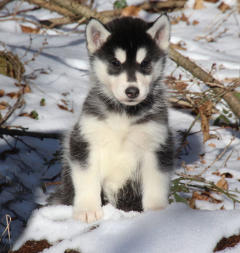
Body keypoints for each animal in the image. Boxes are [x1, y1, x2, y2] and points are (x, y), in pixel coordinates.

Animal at [48, 14, 175, 222]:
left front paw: (156, 212)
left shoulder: (158, 144)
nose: (132, 91)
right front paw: (87, 210)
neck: (124, 115)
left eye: (145, 63)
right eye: (115, 63)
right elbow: (87, 179)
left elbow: (156, 183)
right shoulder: (84, 141)